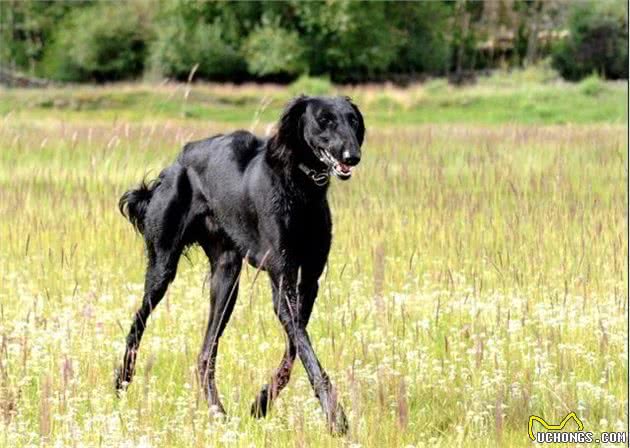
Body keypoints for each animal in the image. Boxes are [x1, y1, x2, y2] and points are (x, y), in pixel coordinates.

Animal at [116, 94, 366, 434]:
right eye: (324, 120)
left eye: (352, 119)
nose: (352, 156)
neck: (299, 185)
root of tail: (177, 162)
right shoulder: (283, 280)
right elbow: (305, 350)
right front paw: (336, 417)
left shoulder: (309, 280)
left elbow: (294, 347)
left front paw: (261, 403)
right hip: (162, 267)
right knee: (138, 322)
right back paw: (122, 382)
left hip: (226, 277)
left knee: (205, 354)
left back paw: (218, 413)